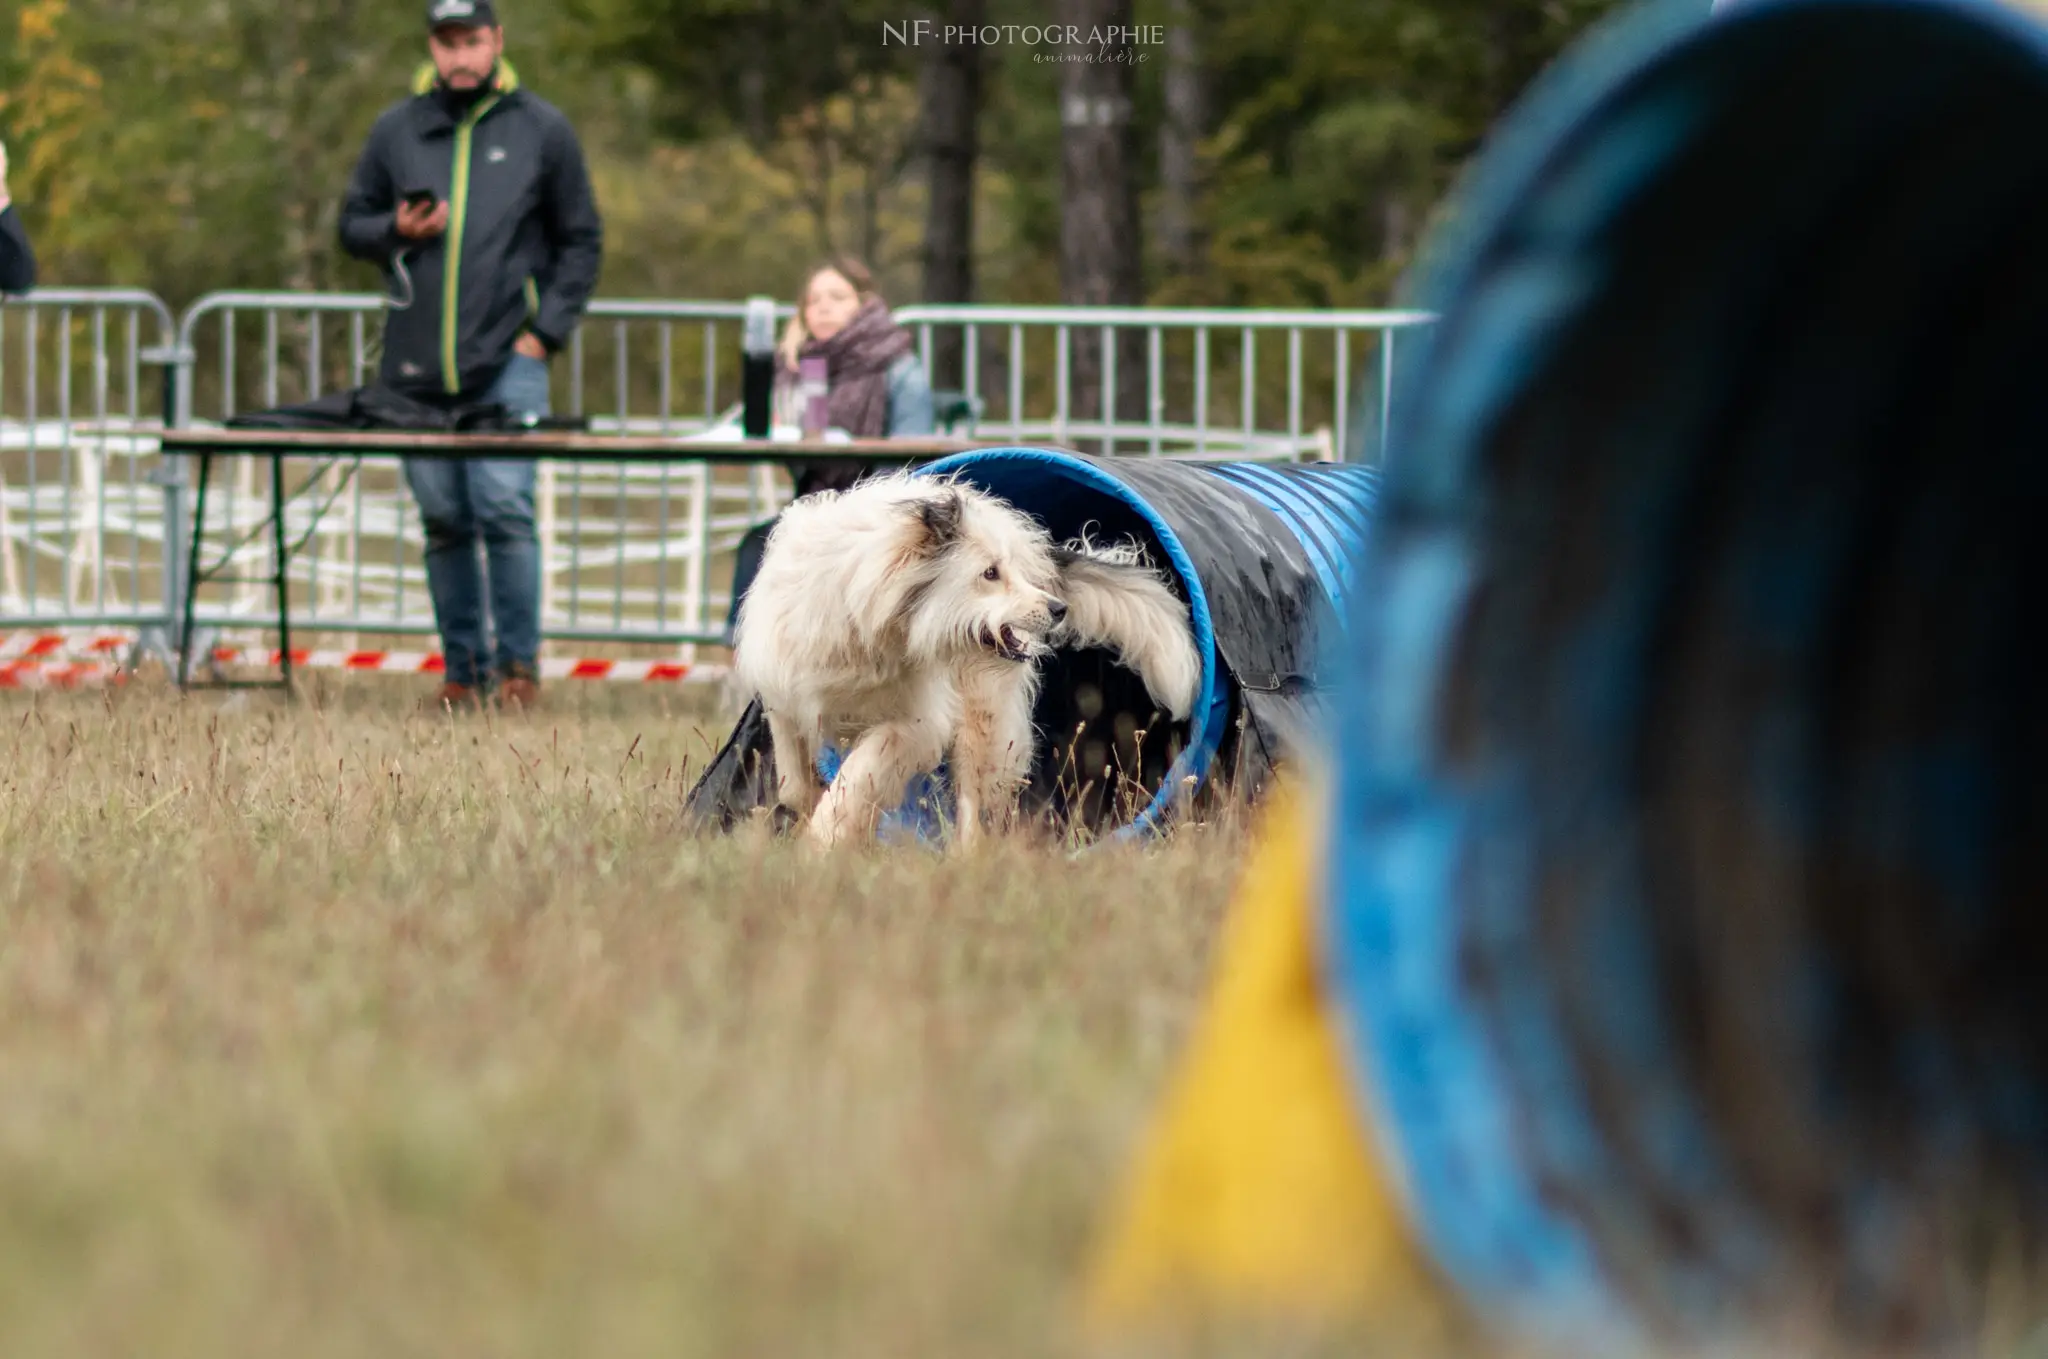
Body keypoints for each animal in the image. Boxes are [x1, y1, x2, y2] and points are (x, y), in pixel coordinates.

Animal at [741, 472, 1196, 843]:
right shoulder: (788, 698)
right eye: (990, 573)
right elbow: (794, 783)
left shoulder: (917, 723)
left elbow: (859, 773)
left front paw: (826, 834)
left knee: (974, 803)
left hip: (982, 716)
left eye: (1007, 571)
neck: (874, 630)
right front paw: (815, 820)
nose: (1058, 608)